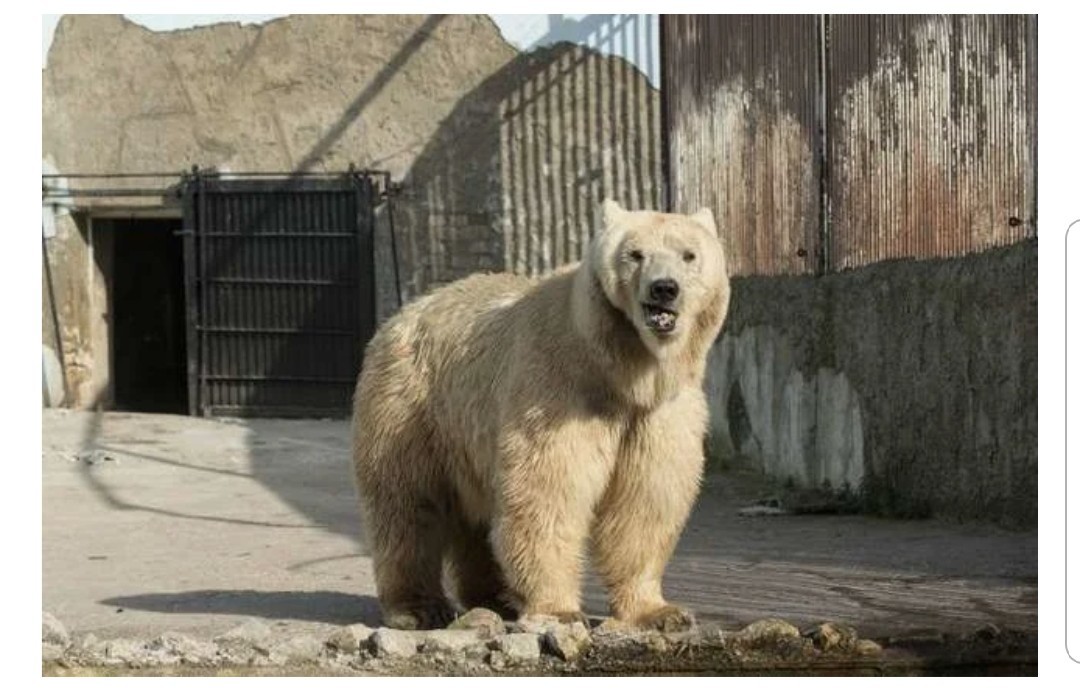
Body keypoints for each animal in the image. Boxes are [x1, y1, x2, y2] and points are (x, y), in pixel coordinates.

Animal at [349, 199, 730, 630]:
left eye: (689, 255)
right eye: (635, 253)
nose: (664, 288)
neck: (622, 371)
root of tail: (400, 315)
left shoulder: (659, 412)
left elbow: (644, 502)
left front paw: (660, 611)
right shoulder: (558, 390)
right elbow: (548, 490)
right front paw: (559, 610)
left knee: (475, 515)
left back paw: (494, 597)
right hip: (411, 406)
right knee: (408, 504)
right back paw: (418, 607)